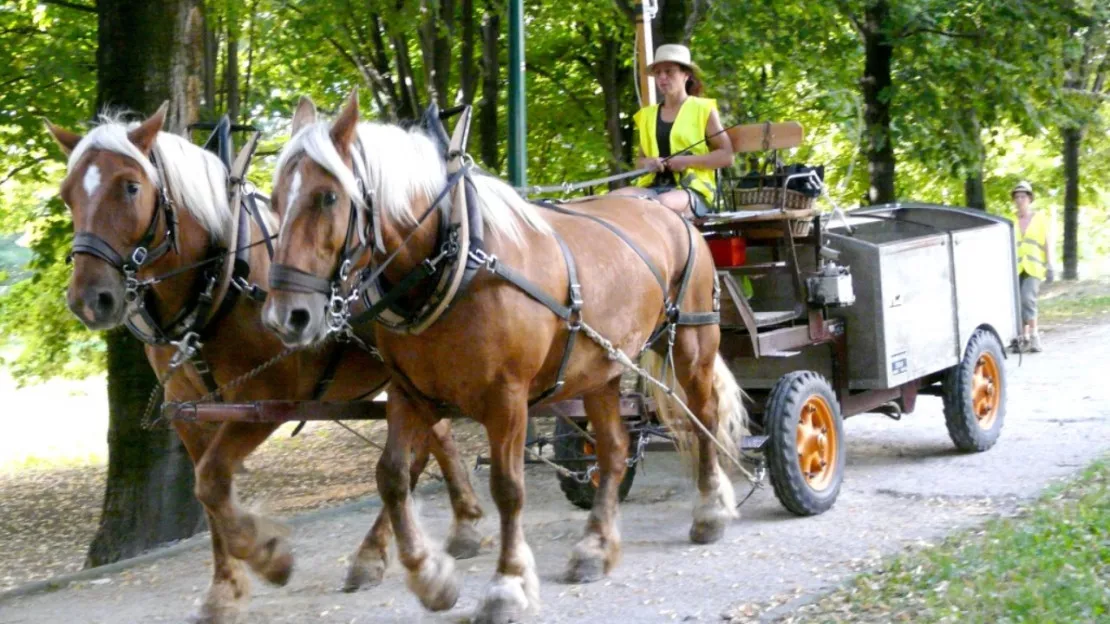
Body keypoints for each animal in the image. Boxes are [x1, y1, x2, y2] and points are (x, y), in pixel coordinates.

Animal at [43, 104, 486, 617]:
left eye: (131, 186)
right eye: (67, 194)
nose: (89, 299)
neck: (219, 278)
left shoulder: (263, 403)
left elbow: (212, 482)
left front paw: (269, 555)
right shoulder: (189, 413)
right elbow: (208, 495)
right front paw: (226, 587)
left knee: (422, 447)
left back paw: (415, 540)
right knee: (432, 440)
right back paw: (423, 537)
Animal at [259, 88, 745, 621]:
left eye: (327, 197)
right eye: (275, 200)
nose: (286, 316)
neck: (456, 259)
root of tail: (672, 213)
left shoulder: (507, 398)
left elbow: (508, 488)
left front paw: (507, 584)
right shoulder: (409, 393)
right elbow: (392, 476)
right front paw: (429, 576)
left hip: (692, 345)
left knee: (704, 418)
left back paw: (711, 510)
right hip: (603, 368)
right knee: (615, 450)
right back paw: (595, 547)